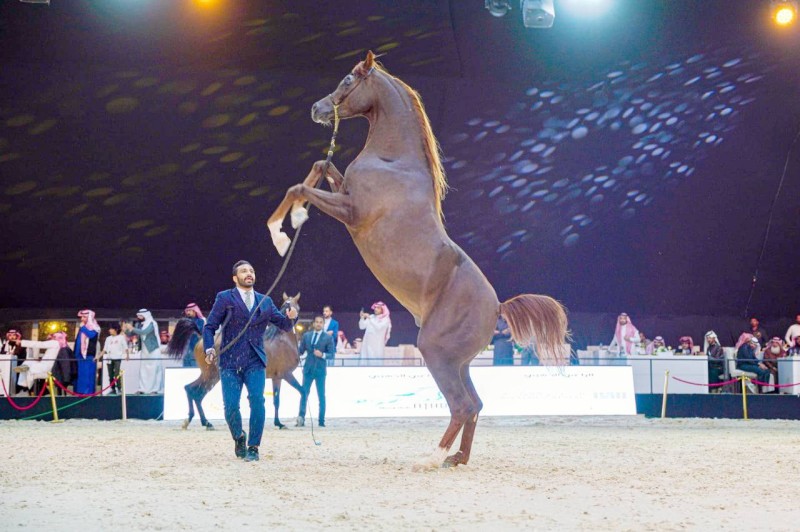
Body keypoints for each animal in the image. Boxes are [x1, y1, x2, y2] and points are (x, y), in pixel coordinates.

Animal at [268, 50, 568, 466]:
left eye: (348, 80)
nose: (317, 108)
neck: (394, 161)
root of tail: (498, 307)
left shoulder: (352, 212)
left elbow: (299, 186)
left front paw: (286, 230)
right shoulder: (344, 193)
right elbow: (319, 167)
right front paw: (288, 224)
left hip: (437, 354)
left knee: (461, 405)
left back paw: (432, 456)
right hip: (460, 363)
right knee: (475, 404)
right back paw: (457, 458)